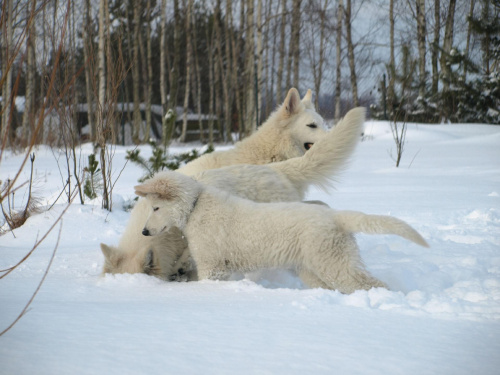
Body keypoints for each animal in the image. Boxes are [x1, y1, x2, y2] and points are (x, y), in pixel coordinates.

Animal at [134, 172, 430, 296]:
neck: (195, 206)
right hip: (312, 268)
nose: (145, 231)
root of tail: (335, 216)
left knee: (369, 284)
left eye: (157, 207)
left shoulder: (212, 265)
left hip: (333, 262)